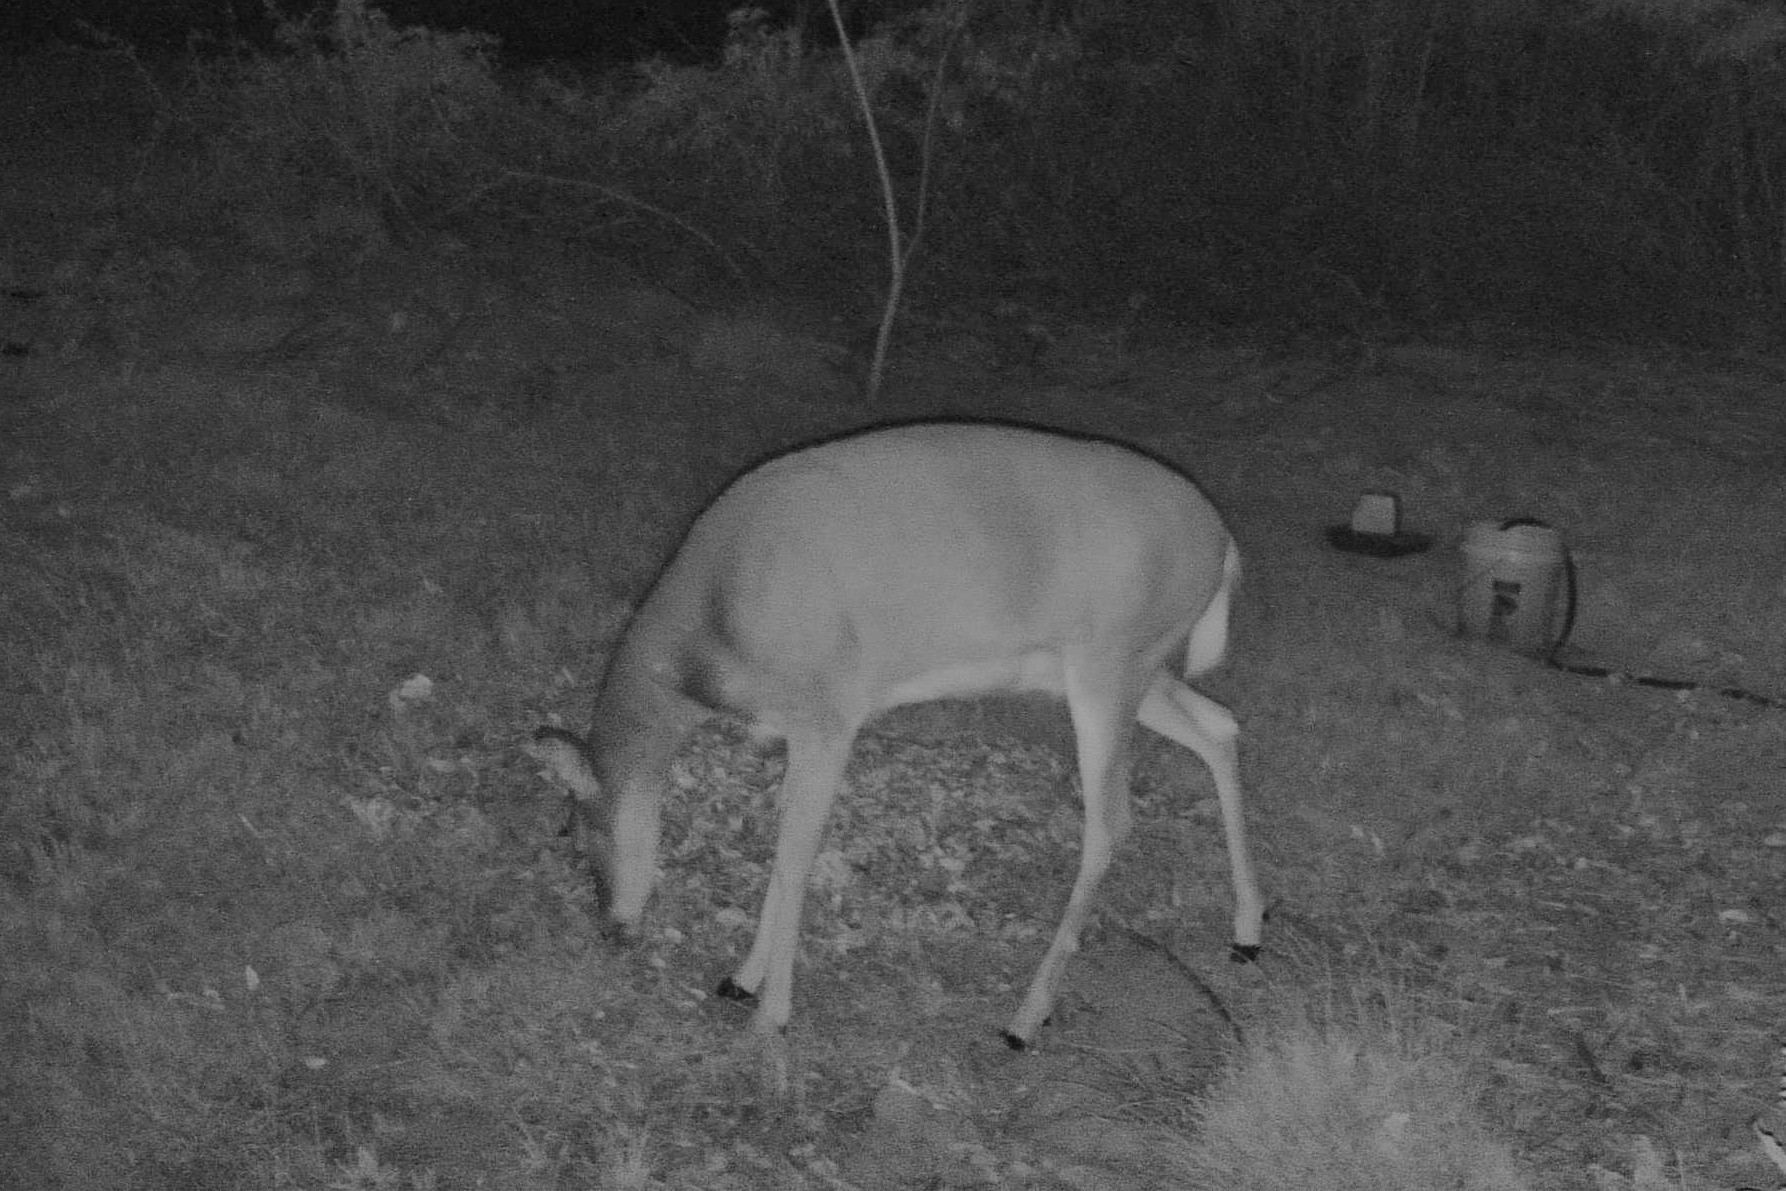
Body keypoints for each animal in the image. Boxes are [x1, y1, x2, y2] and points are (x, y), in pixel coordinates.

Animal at [526, 420, 1265, 1049]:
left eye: (577, 828)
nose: (613, 928)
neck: (715, 623)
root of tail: (1225, 543)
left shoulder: (830, 714)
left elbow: (794, 855)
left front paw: (770, 1016)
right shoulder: (798, 729)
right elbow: (784, 843)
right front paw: (741, 979)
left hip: (1111, 666)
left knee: (1111, 822)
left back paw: (1024, 1018)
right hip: (1128, 667)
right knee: (1219, 725)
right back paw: (1247, 930)